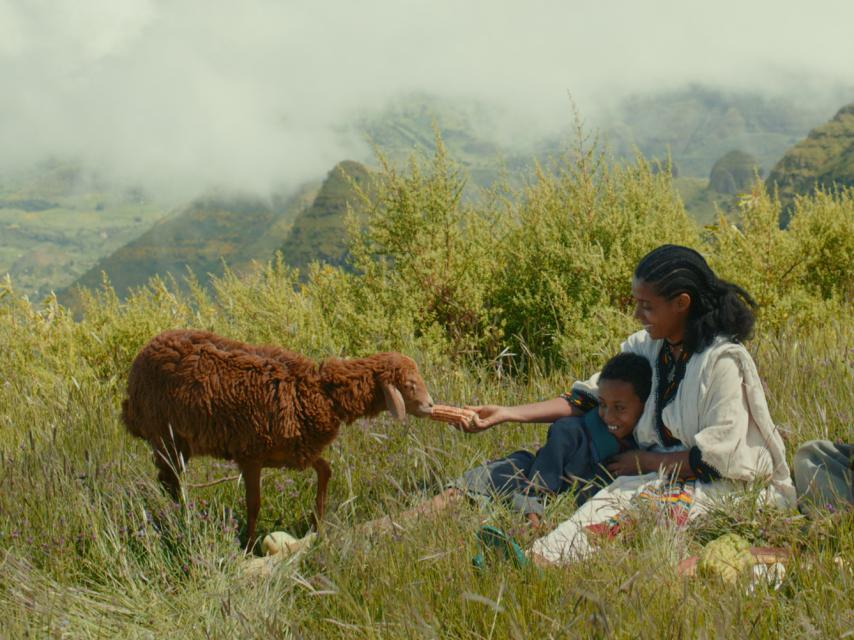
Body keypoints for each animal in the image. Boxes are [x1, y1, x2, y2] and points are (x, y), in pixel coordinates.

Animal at [120, 330, 434, 544]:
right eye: (409, 384)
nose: (431, 405)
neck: (317, 393)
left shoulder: (294, 453)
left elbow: (325, 470)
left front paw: (317, 522)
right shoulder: (251, 456)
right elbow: (254, 504)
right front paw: (248, 546)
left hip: (178, 442)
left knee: (170, 481)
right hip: (164, 436)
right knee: (169, 482)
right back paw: (180, 520)